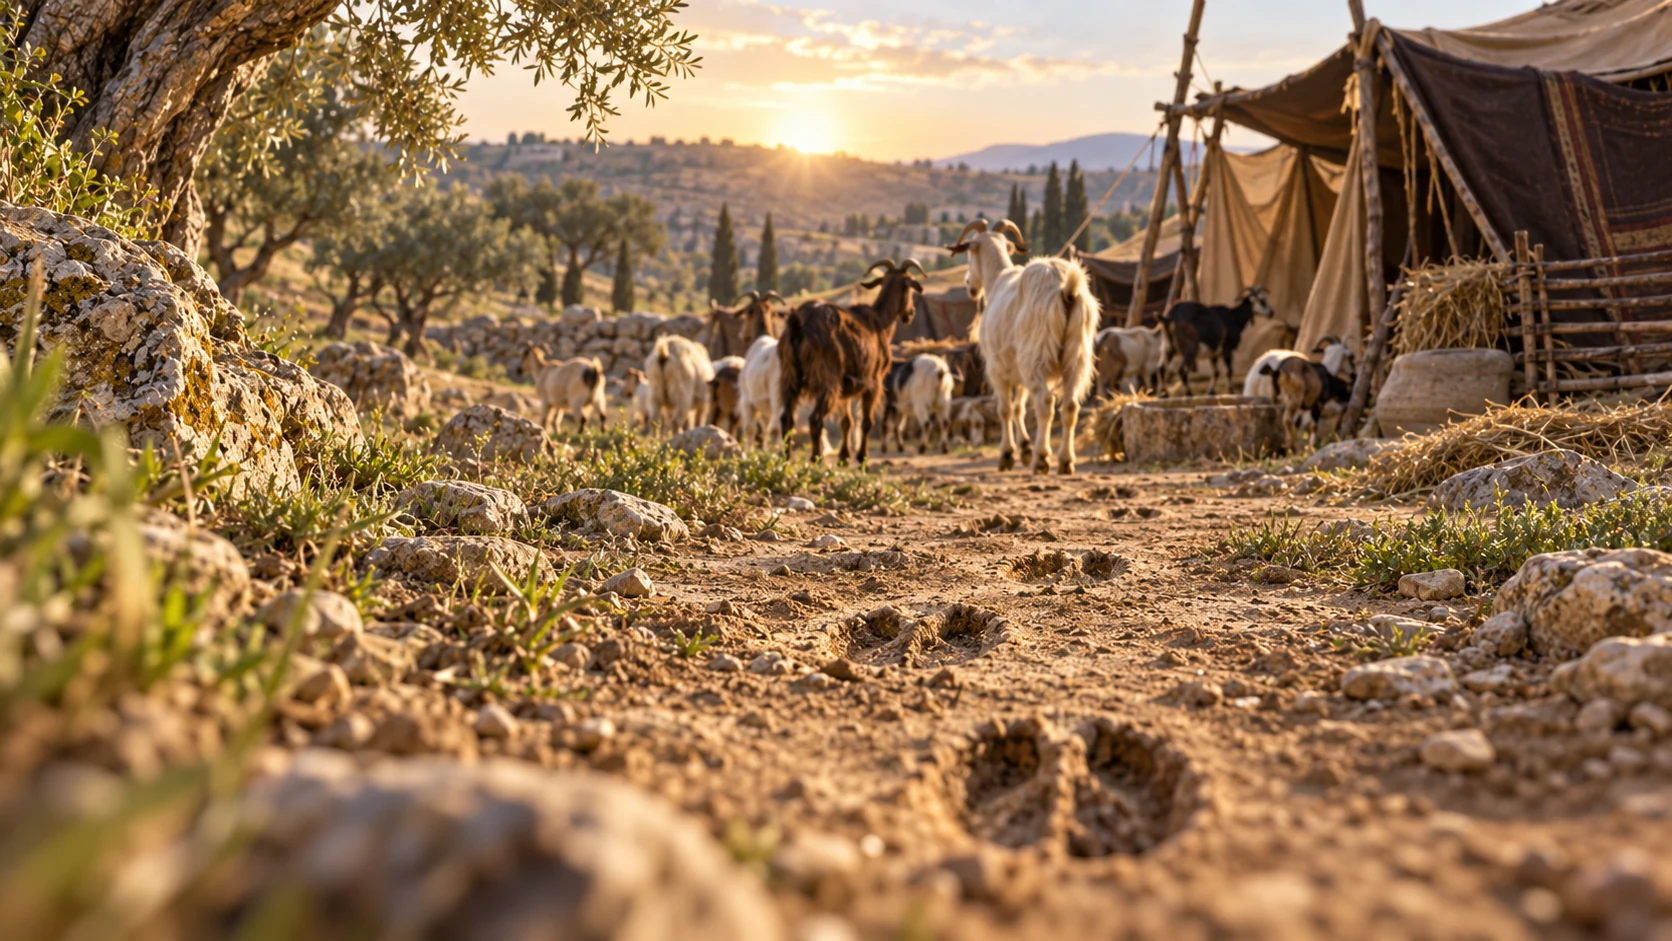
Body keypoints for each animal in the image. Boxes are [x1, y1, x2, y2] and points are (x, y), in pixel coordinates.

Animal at [778, 259, 923, 465]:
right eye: (910, 287)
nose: (911, 313)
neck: (880, 322)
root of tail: (798, 325)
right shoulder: (874, 382)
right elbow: (867, 422)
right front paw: (862, 458)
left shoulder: (844, 389)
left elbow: (846, 421)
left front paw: (844, 457)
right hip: (827, 378)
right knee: (815, 419)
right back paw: (816, 458)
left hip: (789, 376)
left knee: (786, 418)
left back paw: (785, 458)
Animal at [948, 219, 1099, 475]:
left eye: (969, 253)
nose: (969, 285)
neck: (996, 280)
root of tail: (1067, 290)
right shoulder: (1017, 368)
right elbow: (1019, 407)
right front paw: (1025, 448)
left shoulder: (997, 367)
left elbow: (1005, 409)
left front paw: (1007, 455)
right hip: (1076, 356)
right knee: (1070, 406)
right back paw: (1065, 461)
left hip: (1036, 354)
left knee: (1045, 403)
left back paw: (1042, 459)